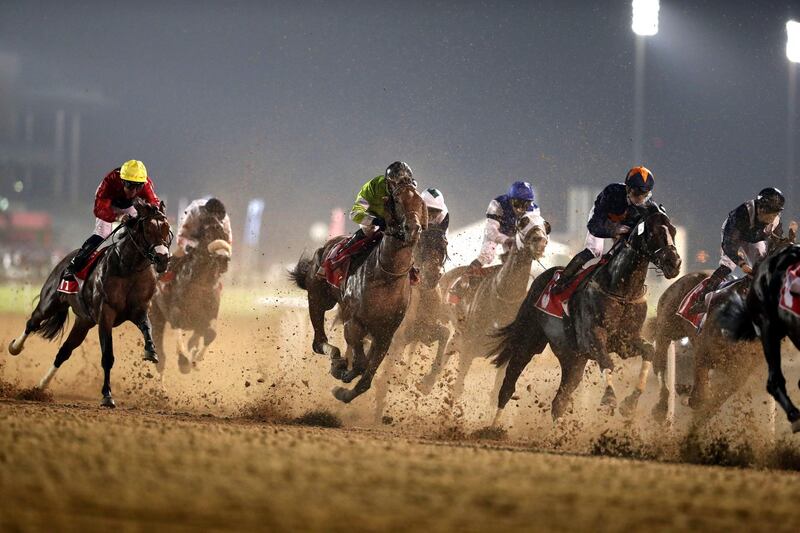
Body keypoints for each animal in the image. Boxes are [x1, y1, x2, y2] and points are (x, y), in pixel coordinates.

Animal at [7, 200, 170, 408]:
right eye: (148, 230)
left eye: (166, 228)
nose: (163, 258)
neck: (128, 268)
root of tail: (65, 260)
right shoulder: (106, 315)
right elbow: (107, 356)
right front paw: (107, 395)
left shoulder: (139, 309)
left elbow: (146, 327)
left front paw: (150, 350)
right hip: (50, 302)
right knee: (32, 323)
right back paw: (15, 348)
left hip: (83, 322)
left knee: (64, 352)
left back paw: (40, 388)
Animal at [151, 216, 231, 374]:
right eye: (208, 236)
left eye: (225, 236)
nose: (224, 258)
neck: (200, 284)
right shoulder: (176, 312)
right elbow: (177, 325)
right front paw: (184, 362)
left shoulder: (209, 315)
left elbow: (210, 334)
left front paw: (196, 359)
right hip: (156, 315)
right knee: (160, 356)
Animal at [290, 183, 428, 404]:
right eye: (397, 199)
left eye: (420, 202)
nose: (413, 228)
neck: (386, 278)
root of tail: (324, 248)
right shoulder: (354, 323)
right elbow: (361, 364)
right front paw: (343, 372)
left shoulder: (385, 334)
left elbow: (365, 379)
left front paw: (344, 391)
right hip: (318, 298)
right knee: (319, 343)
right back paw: (336, 360)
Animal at [488, 208, 680, 420]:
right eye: (653, 232)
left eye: (673, 231)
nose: (675, 263)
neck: (622, 291)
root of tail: (540, 278)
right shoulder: (593, 338)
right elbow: (607, 362)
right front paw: (609, 398)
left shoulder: (626, 341)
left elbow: (649, 351)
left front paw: (630, 403)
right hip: (528, 342)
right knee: (508, 386)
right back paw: (494, 425)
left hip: (573, 358)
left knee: (559, 401)